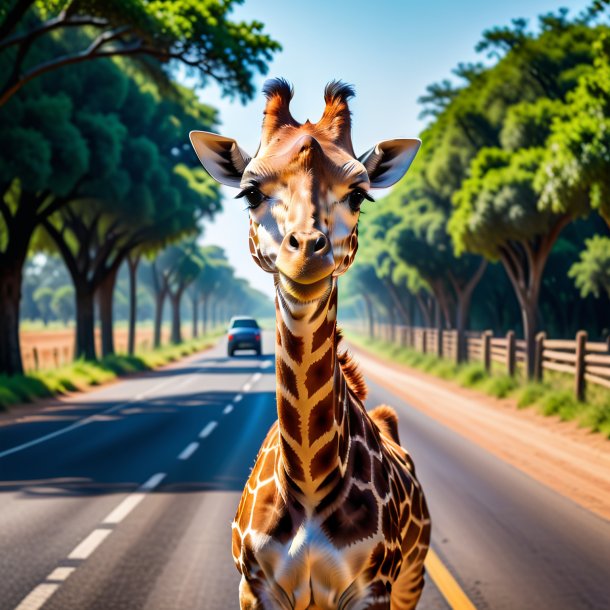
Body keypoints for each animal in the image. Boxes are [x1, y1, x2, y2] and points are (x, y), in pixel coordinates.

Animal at [189, 81, 428, 608]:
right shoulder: (255, 584)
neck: (310, 483)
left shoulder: (374, 588)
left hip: (412, 579)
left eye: (358, 195)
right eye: (251, 192)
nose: (305, 253)